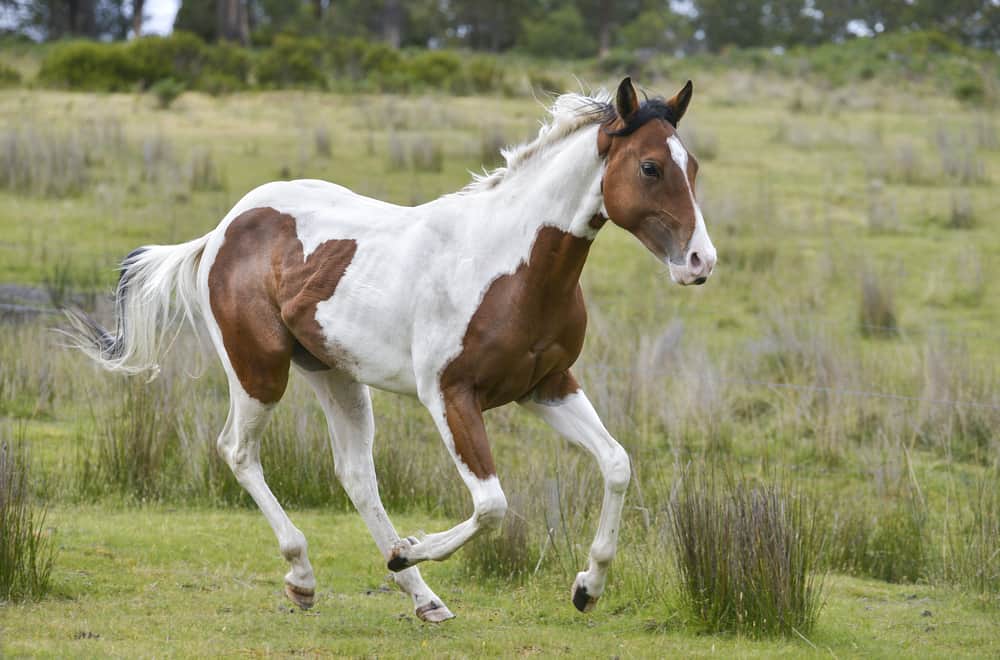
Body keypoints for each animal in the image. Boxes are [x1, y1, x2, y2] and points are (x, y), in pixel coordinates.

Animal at [66, 76, 716, 622]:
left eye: (693, 166)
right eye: (651, 166)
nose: (700, 263)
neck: (509, 263)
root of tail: (223, 229)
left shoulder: (547, 387)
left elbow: (616, 464)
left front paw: (587, 587)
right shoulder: (450, 396)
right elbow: (492, 504)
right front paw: (410, 550)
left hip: (335, 375)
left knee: (356, 475)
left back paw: (424, 599)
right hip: (260, 370)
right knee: (238, 452)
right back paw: (305, 577)